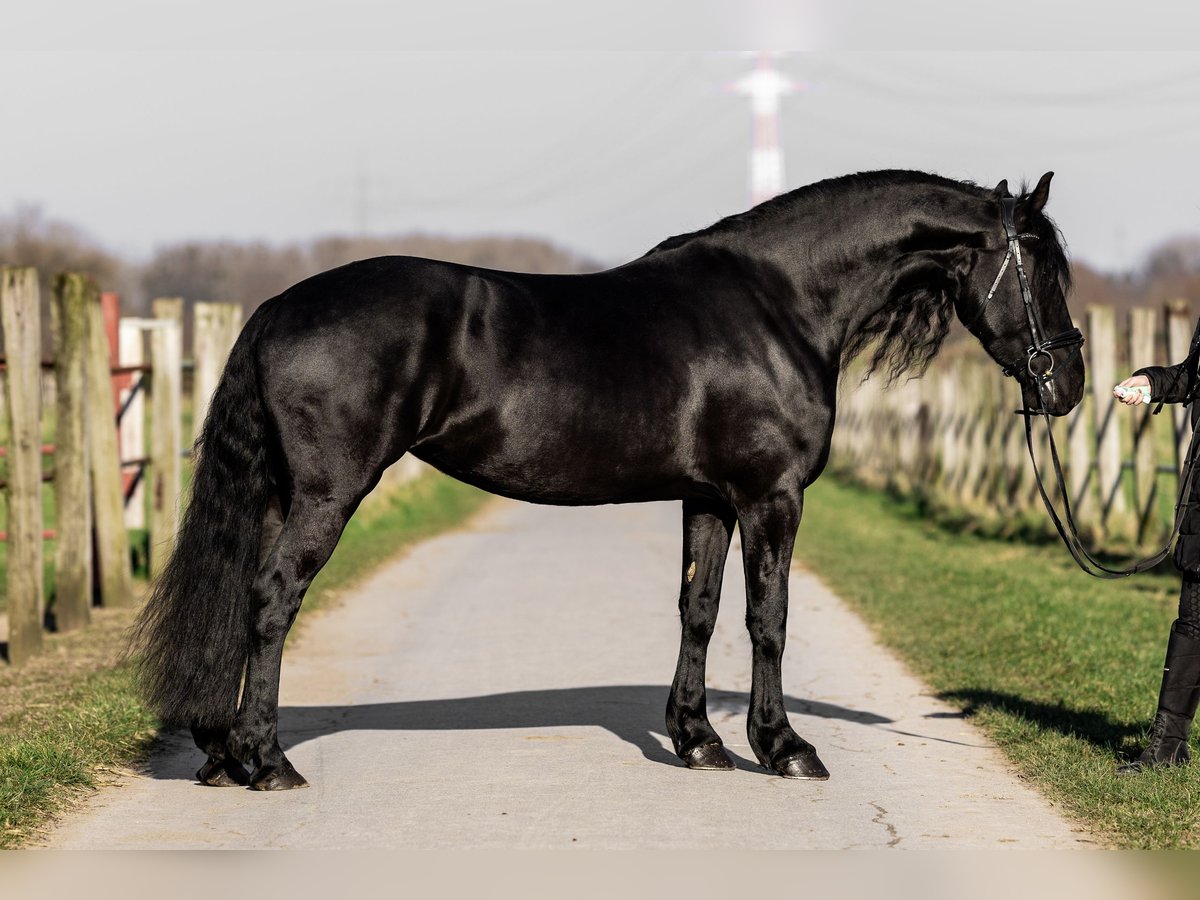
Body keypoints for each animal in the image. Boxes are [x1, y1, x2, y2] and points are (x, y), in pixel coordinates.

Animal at [133, 168, 1089, 787]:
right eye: (1040, 266)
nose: (1069, 383)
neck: (779, 302)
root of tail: (276, 309)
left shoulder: (709, 498)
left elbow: (699, 609)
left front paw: (699, 741)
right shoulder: (771, 498)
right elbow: (768, 620)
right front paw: (785, 747)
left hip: (280, 495)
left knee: (242, 598)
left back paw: (222, 755)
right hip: (325, 496)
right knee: (271, 602)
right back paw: (268, 761)